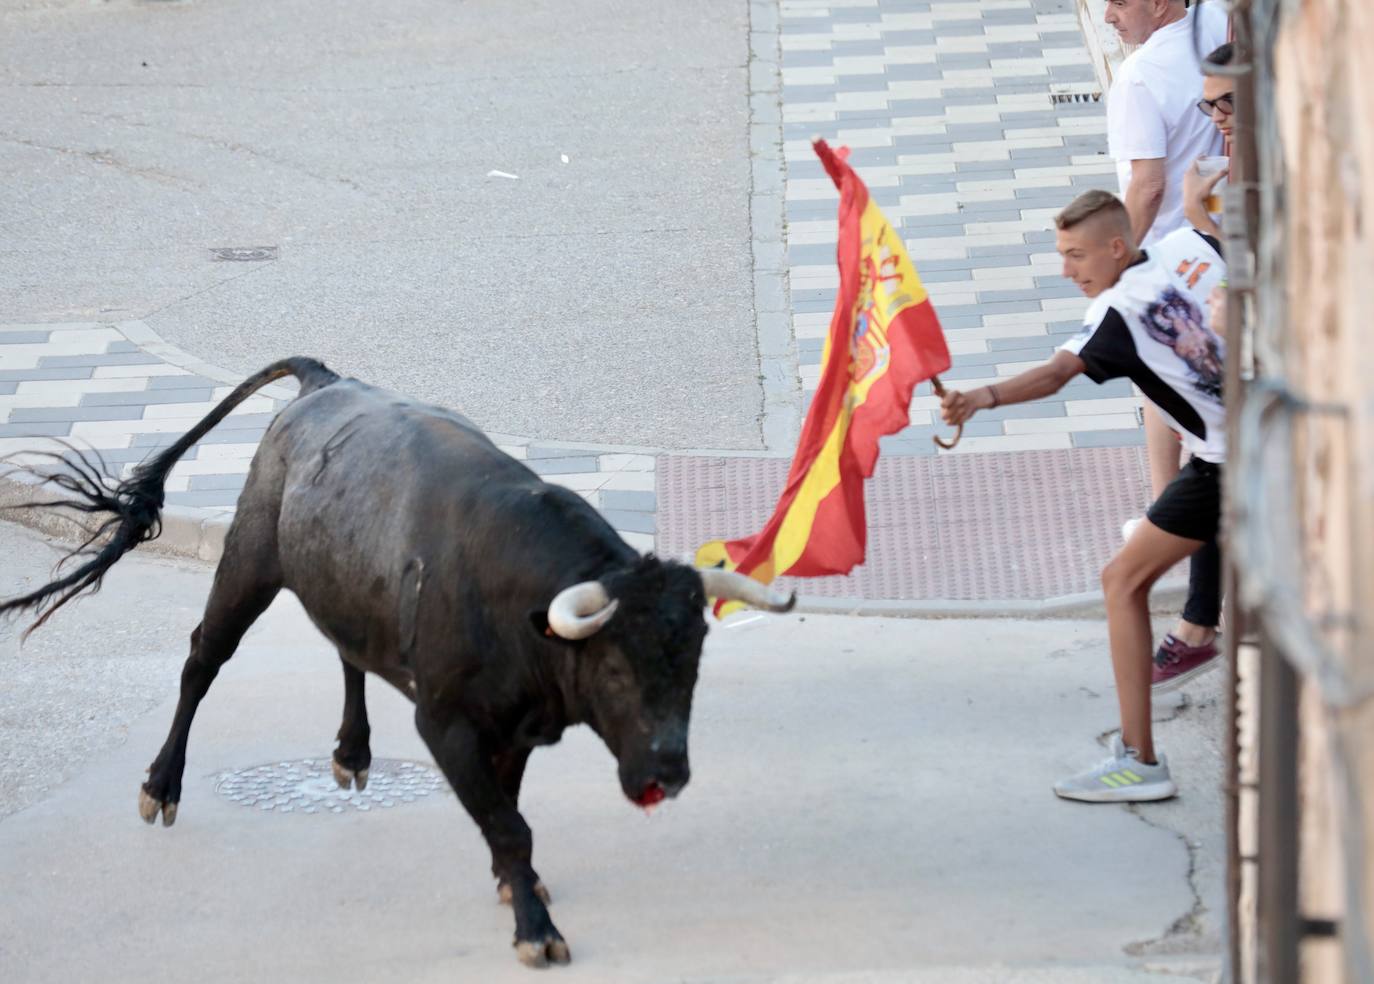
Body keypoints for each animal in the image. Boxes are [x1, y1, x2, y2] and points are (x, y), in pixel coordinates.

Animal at [2, 357, 796, 967]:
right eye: (614, 670)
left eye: (692, 665)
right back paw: (161, 784)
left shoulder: (515, 729)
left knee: (344, 647)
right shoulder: (445, 724)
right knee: (202, 660)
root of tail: (325, 380)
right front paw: (535, 930)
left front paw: (515, 884)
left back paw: (352, 752)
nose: (669, 772)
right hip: (250, 559)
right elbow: (510, 823)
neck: (522, 612)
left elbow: (508, 810)